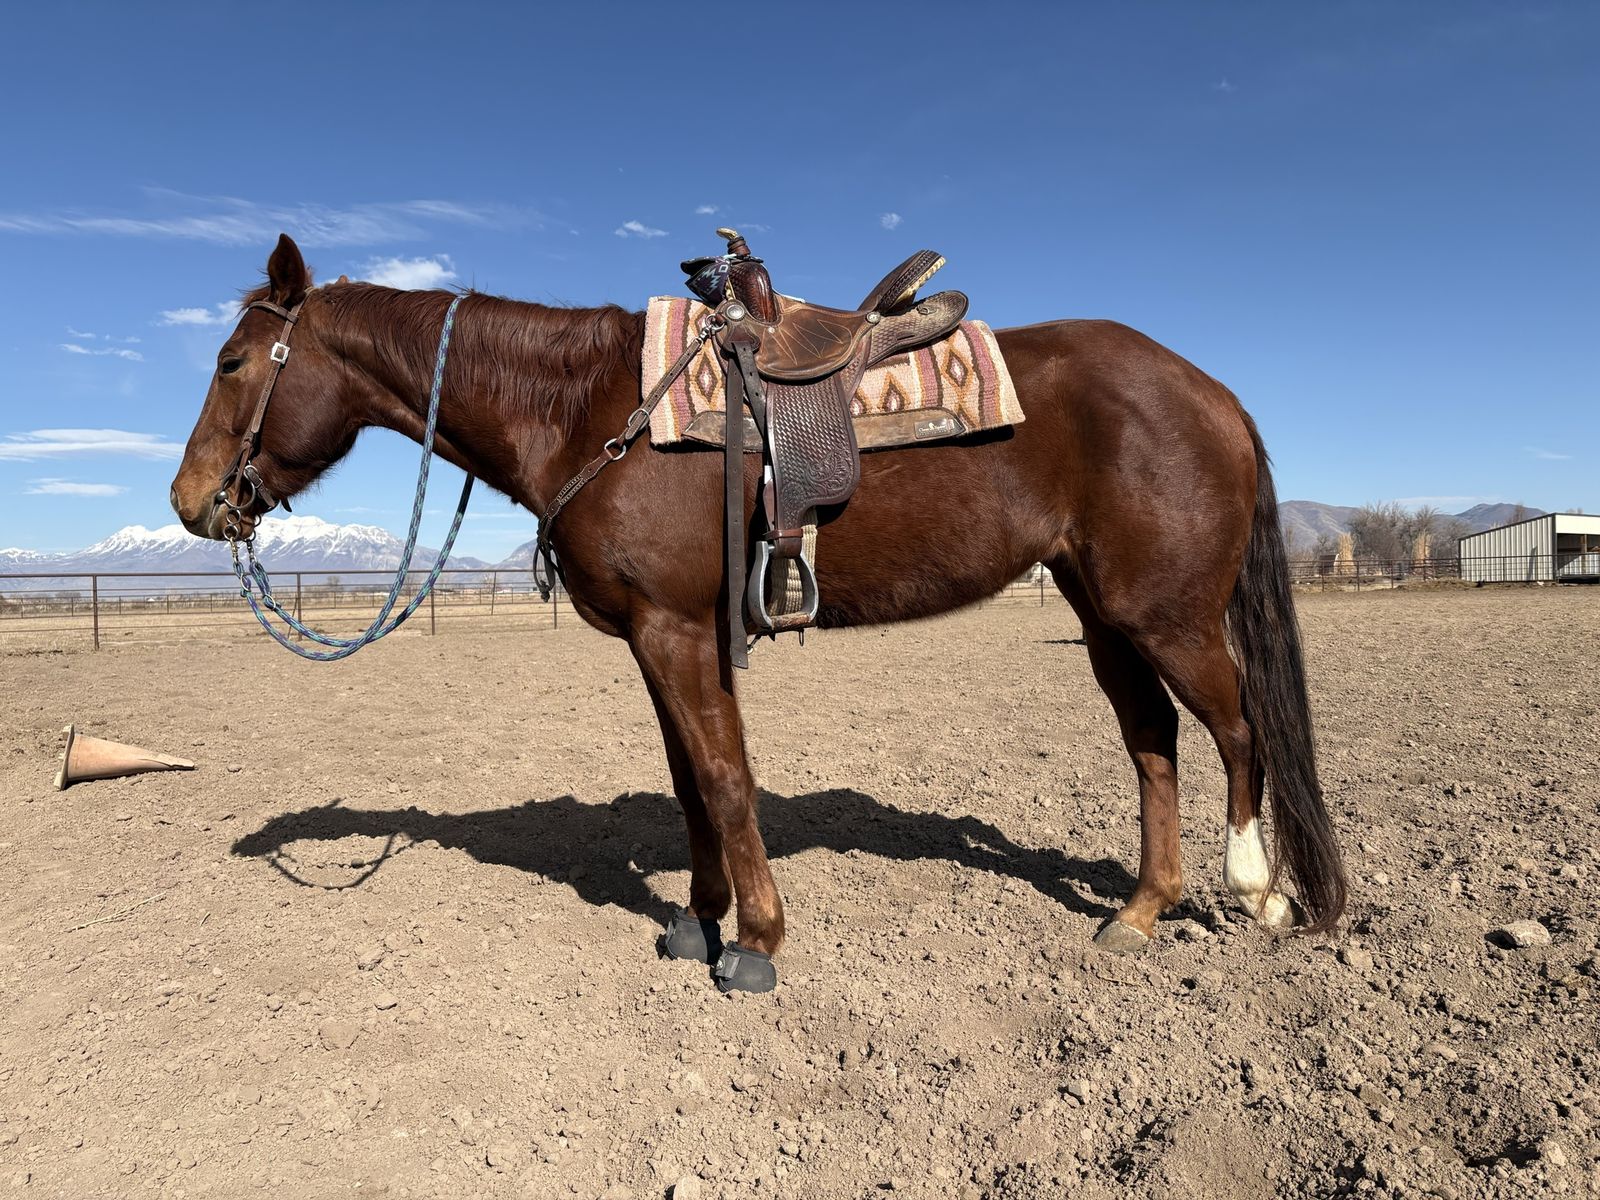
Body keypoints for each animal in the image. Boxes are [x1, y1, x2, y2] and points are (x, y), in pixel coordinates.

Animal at [170, 233, 1346, 991]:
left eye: (232, 361)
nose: (189, 502)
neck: (591, 408)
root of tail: (1211, 392)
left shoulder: (677, 631)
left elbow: (728, 781)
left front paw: (759, 943)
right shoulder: (662, 636)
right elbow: (693, 782)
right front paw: (698, 924)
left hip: (1168, 615)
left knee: (1237, 731)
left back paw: (1260, 893)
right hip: (1105, 615)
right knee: (1152, 741)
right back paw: (1139, 912)